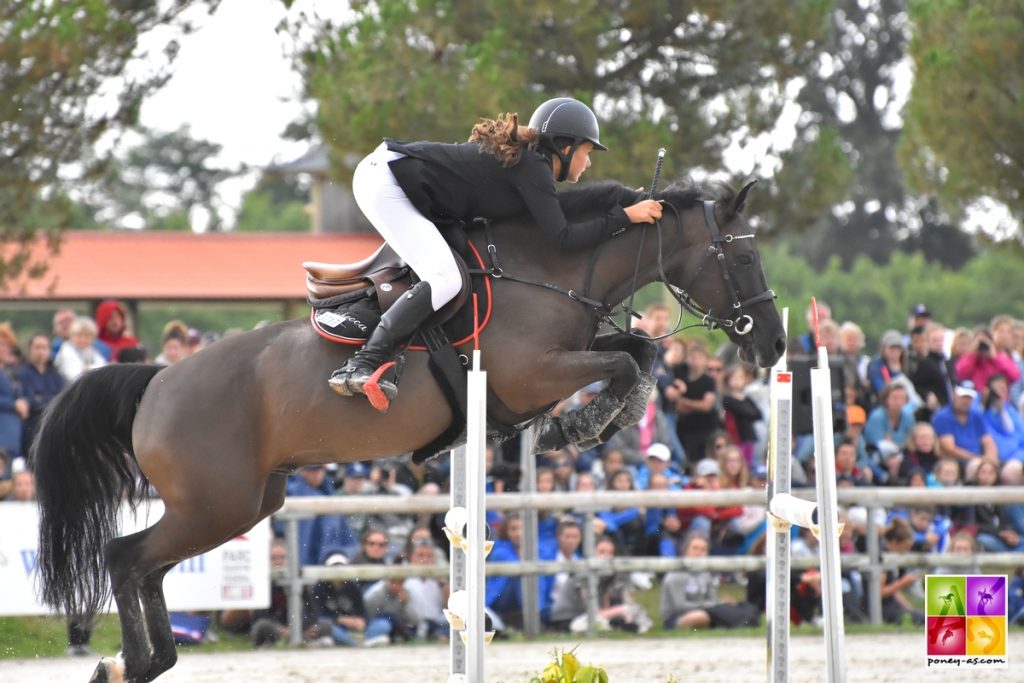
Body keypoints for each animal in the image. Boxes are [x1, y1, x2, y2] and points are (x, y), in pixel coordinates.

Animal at [29, 178, 782, 683]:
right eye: (743, 259)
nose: (773, 345)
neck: (550, 271)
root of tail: (156, 382)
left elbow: (641, 351)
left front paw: (593, 418)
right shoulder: (531, 373)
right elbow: (625, 360)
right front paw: (583, 423)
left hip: (240, 504)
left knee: (147, 565)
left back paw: (141, 660)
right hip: (217, 504)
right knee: (127, 557)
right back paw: (135, 660)